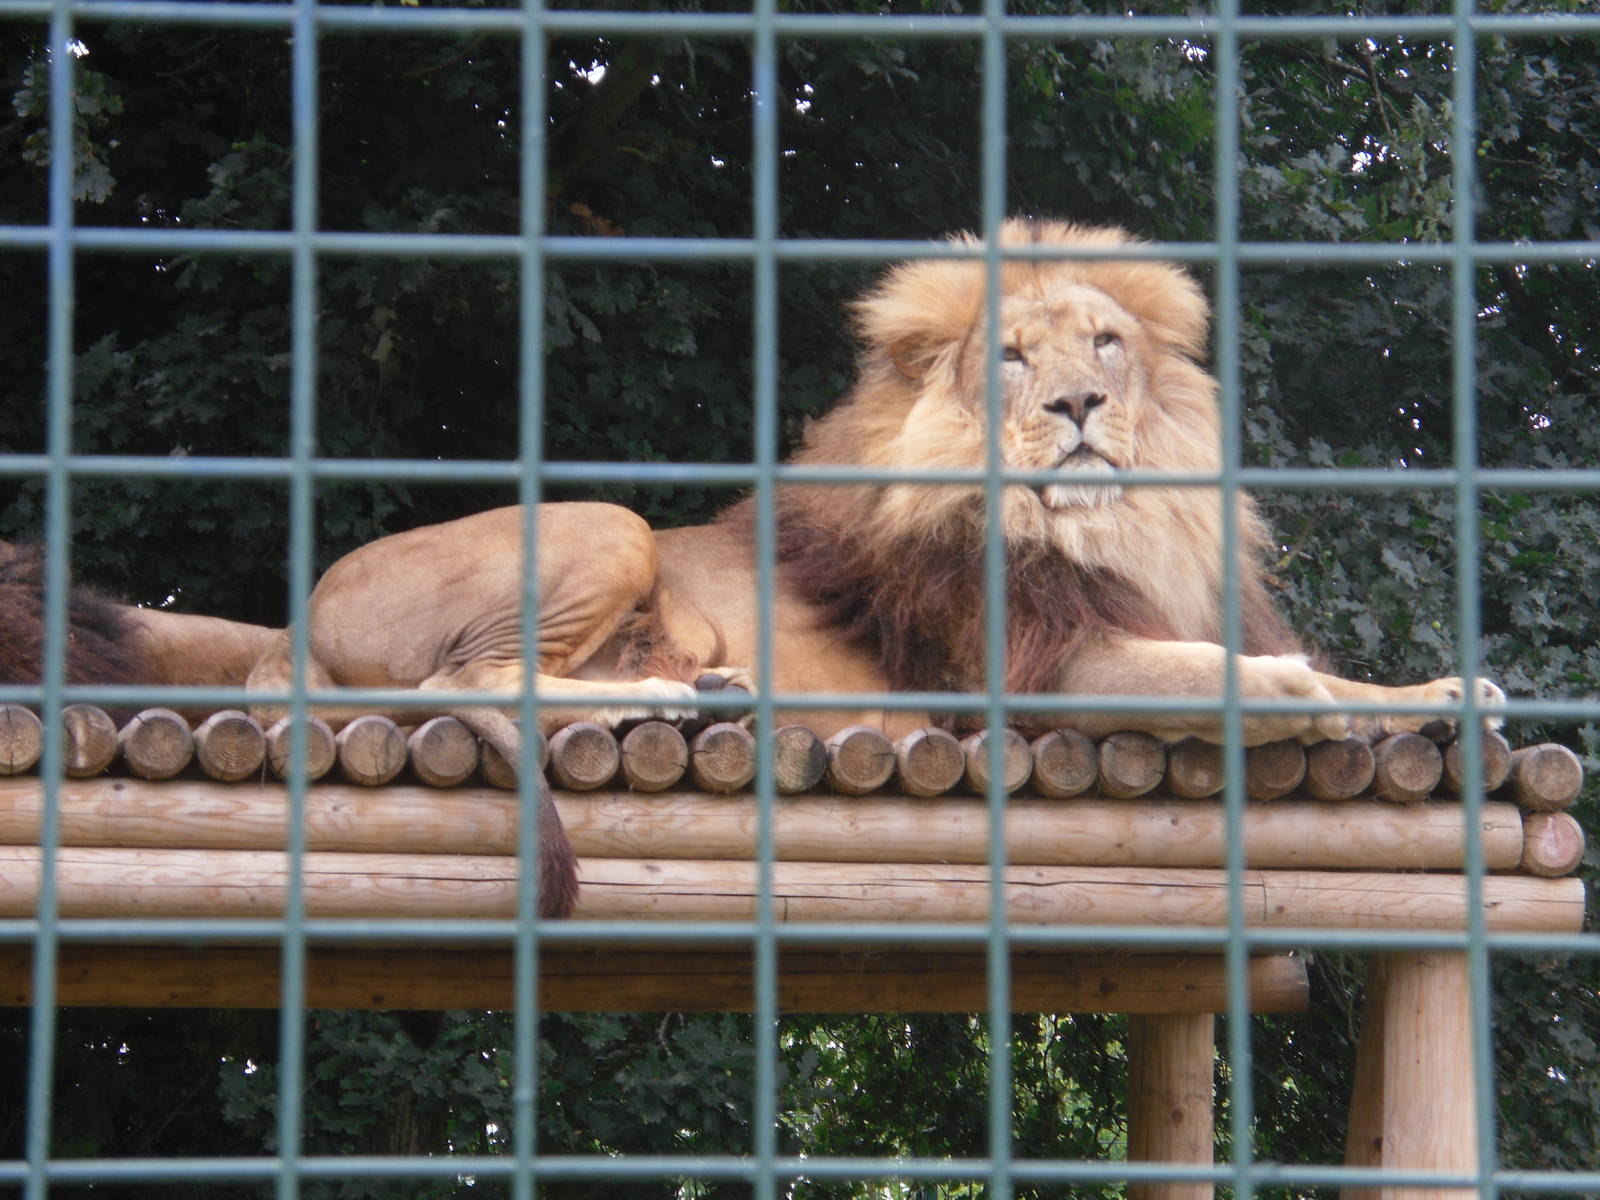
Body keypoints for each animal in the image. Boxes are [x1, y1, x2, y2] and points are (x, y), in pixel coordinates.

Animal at [37, 218, 1503, 920]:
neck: (1103, 523)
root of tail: (296, 621)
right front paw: (1362, 709)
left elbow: (1308, 667)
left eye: (1106, 343)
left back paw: (707, 692)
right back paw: (674, 698)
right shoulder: (1047, 667)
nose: (1079, 408)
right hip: (601, 524)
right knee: (478, 681)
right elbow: (1259, 678)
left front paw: (1441, 694)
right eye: (1010, 356)